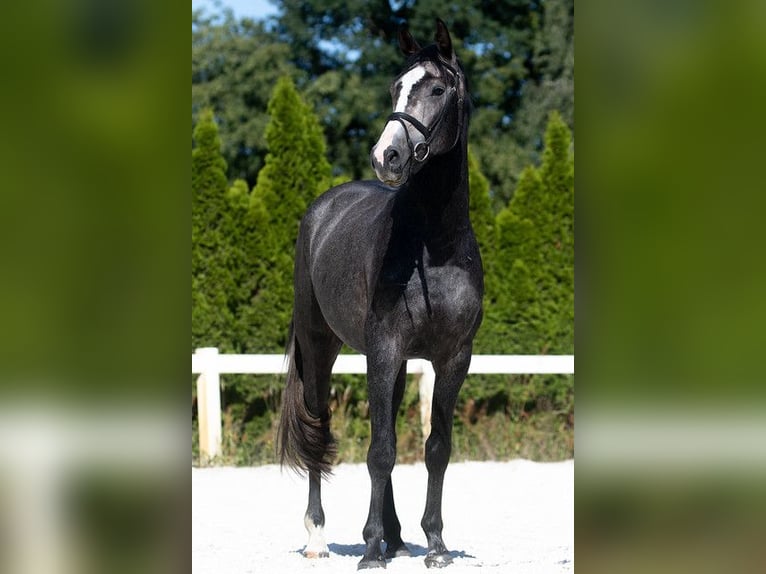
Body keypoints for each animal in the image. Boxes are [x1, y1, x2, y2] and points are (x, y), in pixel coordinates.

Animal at [278, 19, 483, 570]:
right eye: (396, 87)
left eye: (438, 89)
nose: (386, 156)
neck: (435, 248)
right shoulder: (386, 348)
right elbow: (380, 451)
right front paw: (369, 549)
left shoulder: (453, 357)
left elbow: (434, 448)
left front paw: (435, 543)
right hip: (321, 348)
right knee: (320, 428)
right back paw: (320, 537)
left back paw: (396, 536)